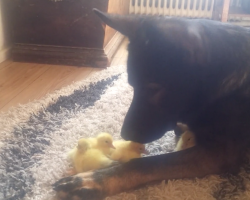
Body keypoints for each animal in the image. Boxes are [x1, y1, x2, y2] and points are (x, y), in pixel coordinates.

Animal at [53, 9, 250, 198]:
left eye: (153, 89)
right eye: (132, 84)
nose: (125, 134)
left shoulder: (217, 153)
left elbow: (146, 164)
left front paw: (98, 180)